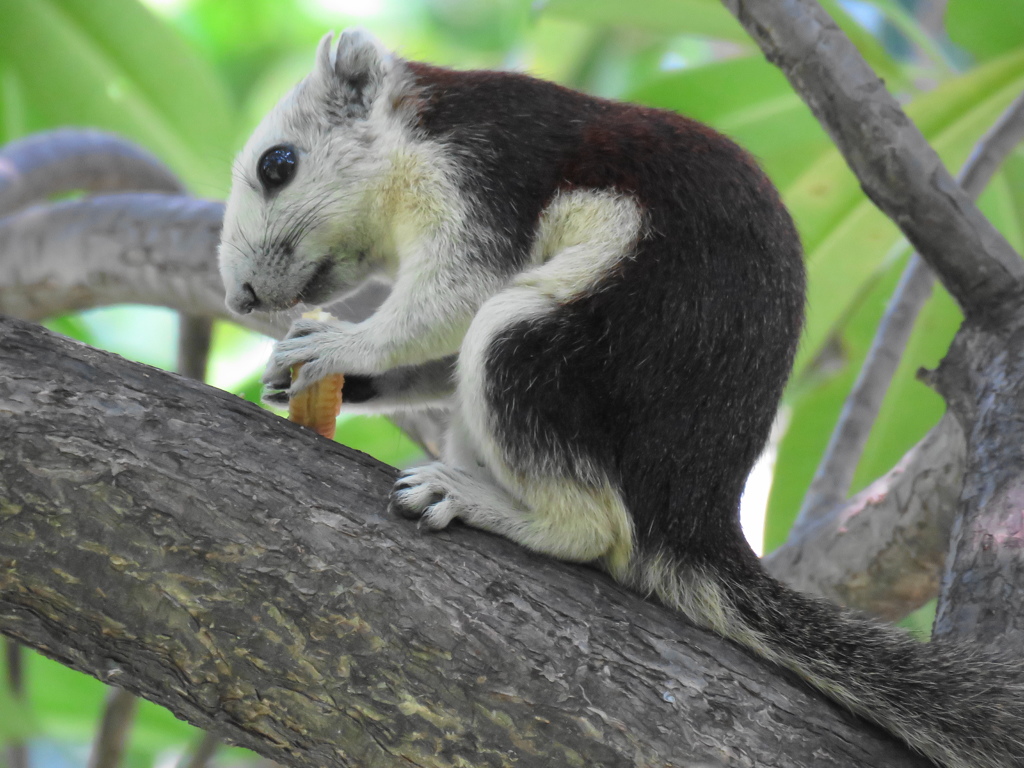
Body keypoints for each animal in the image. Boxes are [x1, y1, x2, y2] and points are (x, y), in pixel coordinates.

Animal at [218, 28, 1024, 768]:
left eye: (277, 164)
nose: (242, 298)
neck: (417, 133)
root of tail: (694, 517)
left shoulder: (484, 178)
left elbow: (453, 299)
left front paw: (340, 350)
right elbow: (438, 359)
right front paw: (314, 377)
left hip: (555, 344)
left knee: (588, 518)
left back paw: (479, 503)